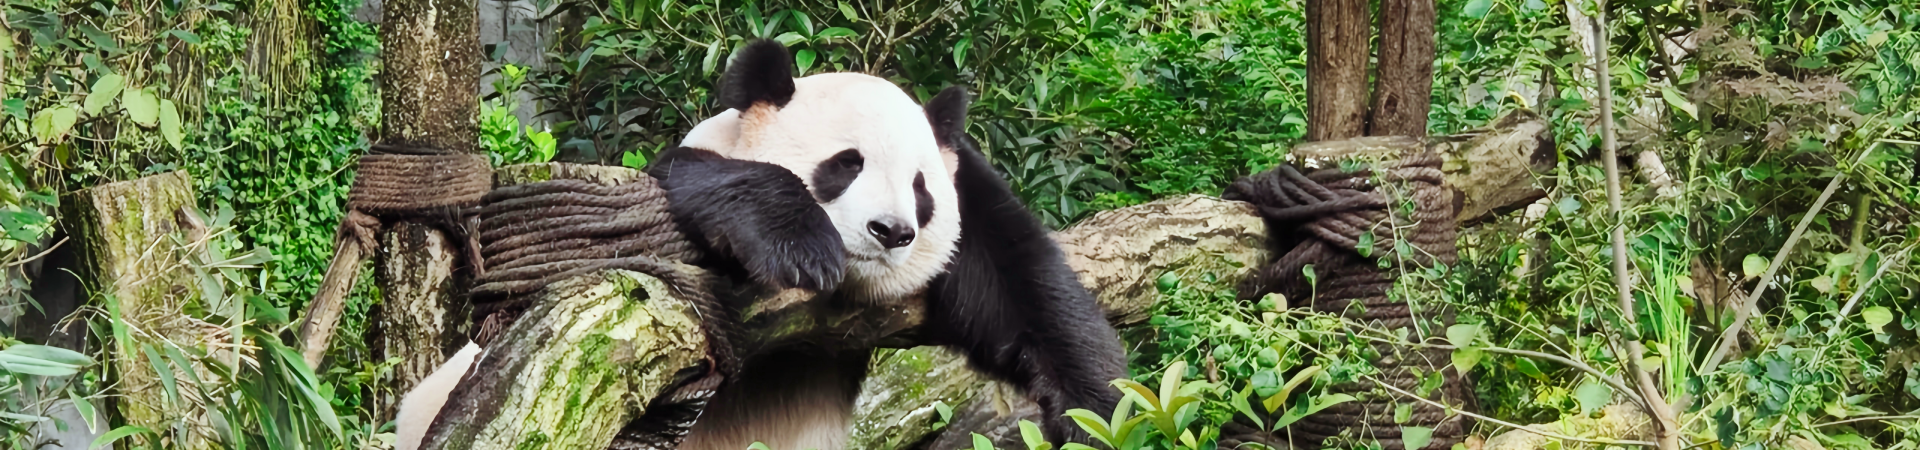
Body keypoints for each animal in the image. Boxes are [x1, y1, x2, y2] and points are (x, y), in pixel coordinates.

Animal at [394, 39, 1126, 450]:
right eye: (845, 165)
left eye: (921, 190)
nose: (891, 232)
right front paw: (800, 245)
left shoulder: (970, 200)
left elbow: (1027, 297)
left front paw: (1096, 415)